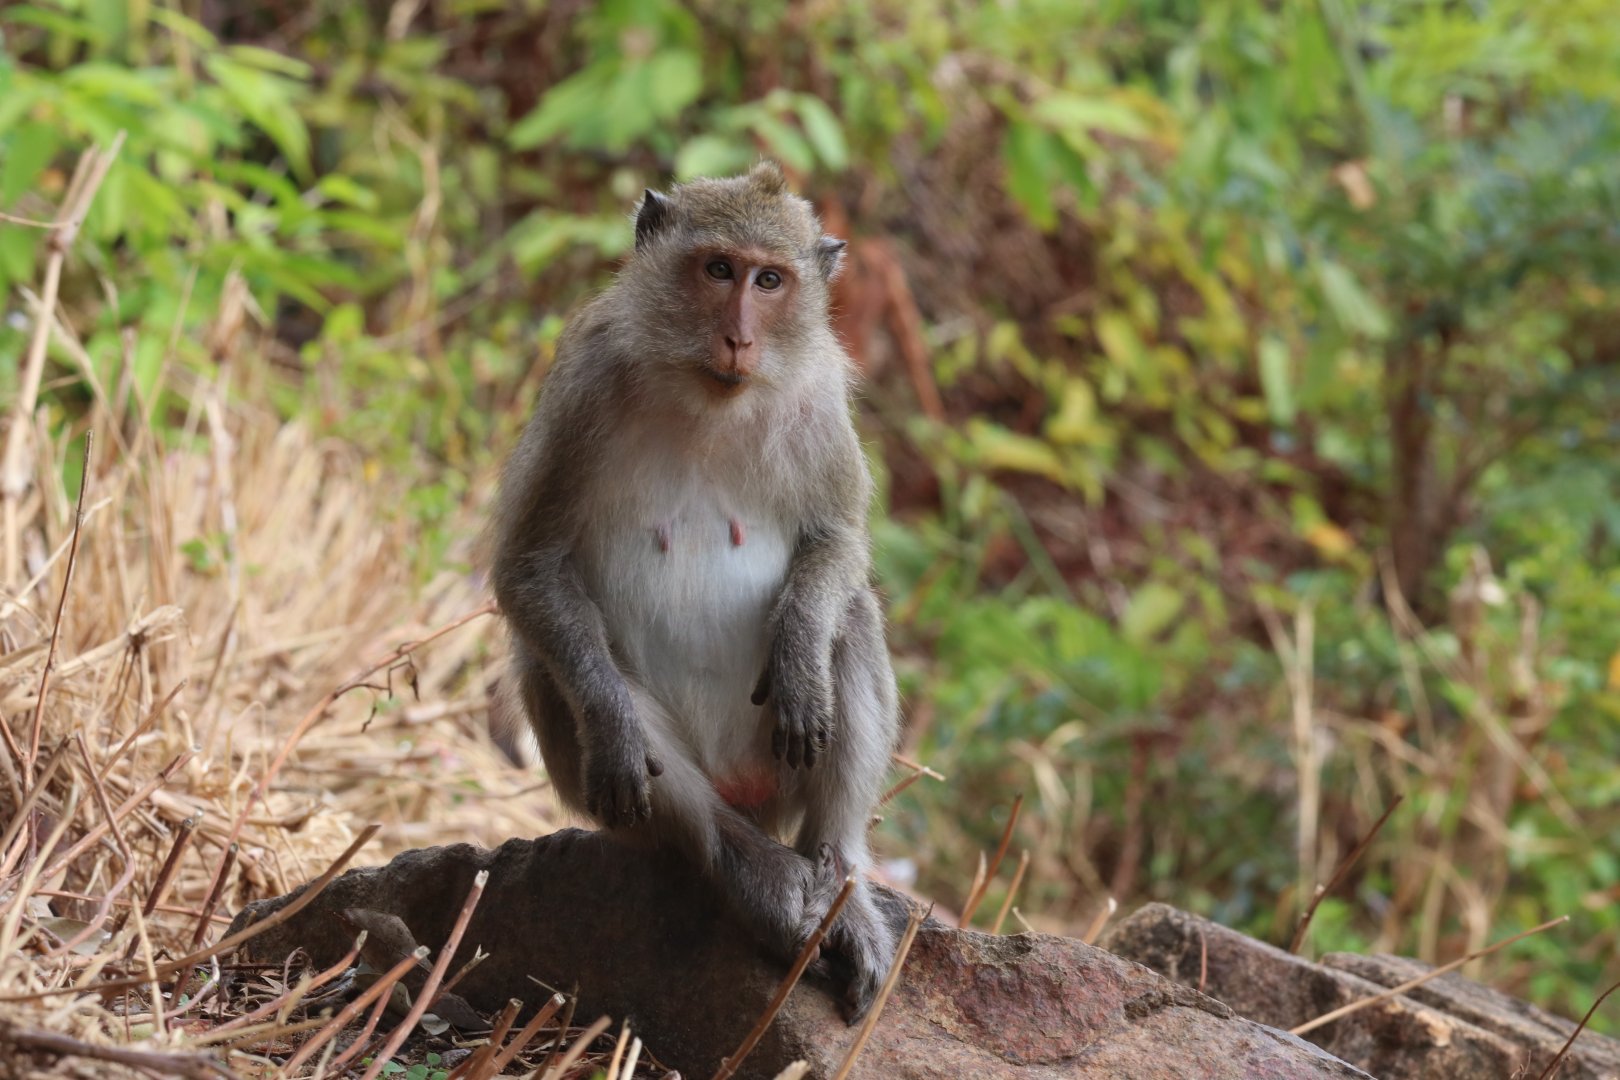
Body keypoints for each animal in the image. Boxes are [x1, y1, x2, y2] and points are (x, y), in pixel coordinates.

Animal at [490, 161, 901, 1017]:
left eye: (769, 280)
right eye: (718, 269)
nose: (739, 337)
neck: (711, 396)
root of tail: (745, 793)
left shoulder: (821, 398)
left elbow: (838, 544)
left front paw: (799, 652)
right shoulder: (584, 379)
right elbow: (530, 566)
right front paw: (616, 727)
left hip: (777, 769)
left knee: (849, 616)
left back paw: (839, 876)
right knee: (558, 672)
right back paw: (754, 876)